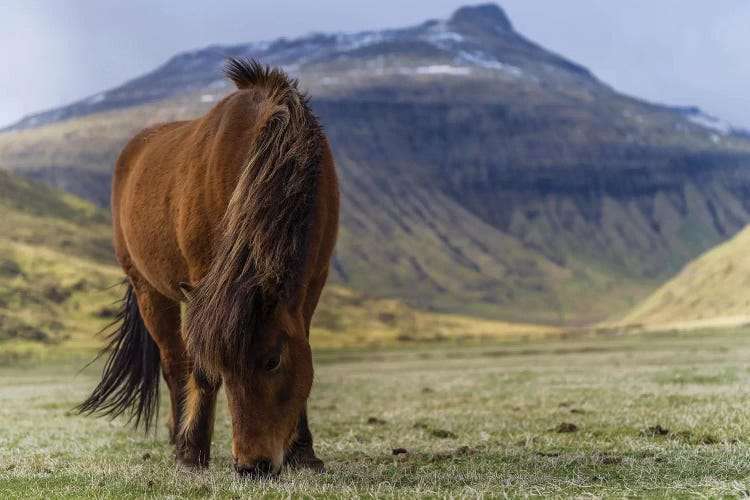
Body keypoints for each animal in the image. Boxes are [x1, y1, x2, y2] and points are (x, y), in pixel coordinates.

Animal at [76, 58, 340, 476]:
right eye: (225, 368)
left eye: (273, 360)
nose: (252, 465)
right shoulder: (204, 283)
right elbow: (198, 368)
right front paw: (192, 451)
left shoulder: (313, 282)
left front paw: (305, 453)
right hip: (150, 291)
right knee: (175, 364)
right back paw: (178, 439)